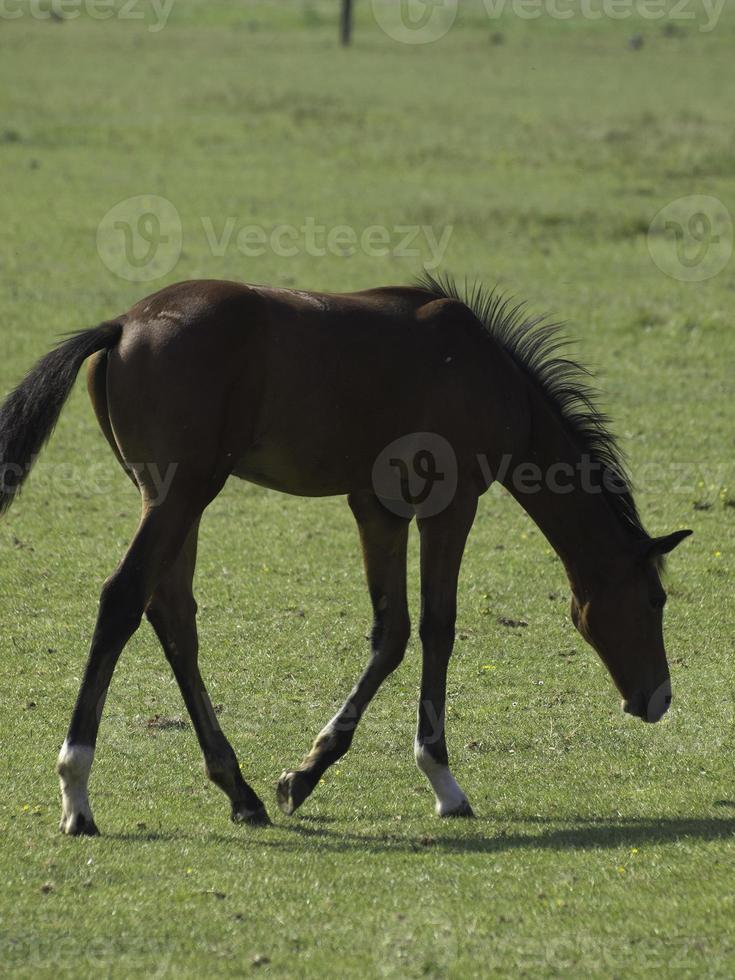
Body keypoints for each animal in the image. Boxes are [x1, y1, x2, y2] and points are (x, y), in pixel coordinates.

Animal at [0, 274, 688, 836]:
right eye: (655, 599)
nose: (657, 699)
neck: (486, 374)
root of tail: (124, 325)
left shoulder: (377, 508)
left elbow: (392, 632)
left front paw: (303, 775)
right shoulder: (450, 505)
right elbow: (437, 627)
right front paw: (443, 781)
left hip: (174, 502)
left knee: (171, 613)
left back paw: (239, 790)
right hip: (180, 495)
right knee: (123, 598)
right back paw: (77, 792)